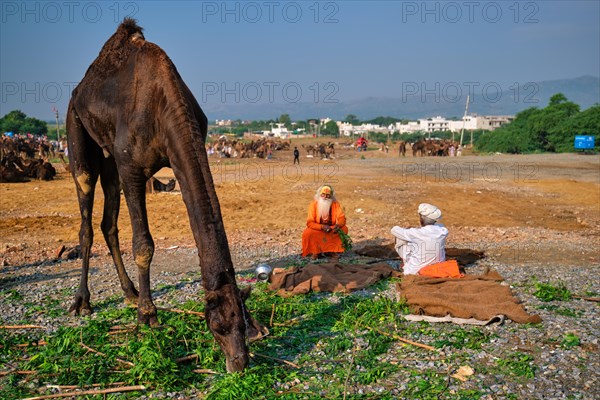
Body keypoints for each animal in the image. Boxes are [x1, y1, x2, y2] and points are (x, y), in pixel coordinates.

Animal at [65, 18, 262, 374]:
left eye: (242, 323)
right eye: (218, 326)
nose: (238, 363)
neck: (165, 105)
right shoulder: (132, 169)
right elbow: (143, 245)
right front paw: (147, 315)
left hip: (110, 161)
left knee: (108, 223)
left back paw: (128, 292)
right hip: (76, 126)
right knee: (86, 213)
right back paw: (83, 302)